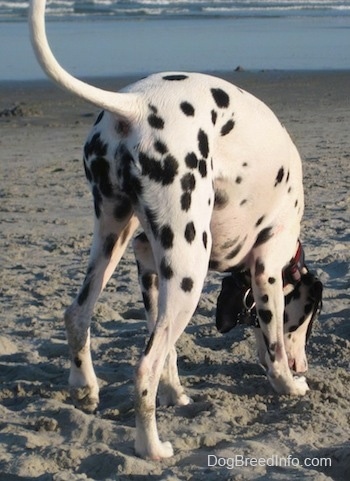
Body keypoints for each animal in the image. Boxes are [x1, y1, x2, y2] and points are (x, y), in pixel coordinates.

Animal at [30, 0, 322, 458]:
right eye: (307, 318)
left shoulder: (149, 270)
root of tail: (132, 105)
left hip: (113, 243)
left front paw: (175, 394)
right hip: (189, 271)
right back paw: (151, 448)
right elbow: (273, 342)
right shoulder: (267, 269)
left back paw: (86, 389)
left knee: (78, 316)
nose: (304, 365)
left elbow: (167, 355)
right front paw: (289, 384)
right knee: (143, 367)